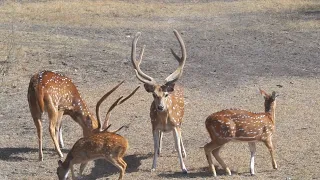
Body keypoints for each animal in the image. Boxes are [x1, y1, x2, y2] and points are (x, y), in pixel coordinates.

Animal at [131, 29, 188, 173]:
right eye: (154, 94)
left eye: (166, 94)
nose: (160, 107)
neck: (164, 120)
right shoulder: (154, 126)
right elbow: (155, 144)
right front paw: (153, 167)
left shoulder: (175, 125)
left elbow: (177, 145)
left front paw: (184, 168)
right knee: (161, 137)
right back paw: (159, 151)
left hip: (181, 119)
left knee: (181, 133)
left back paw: (184, 152)